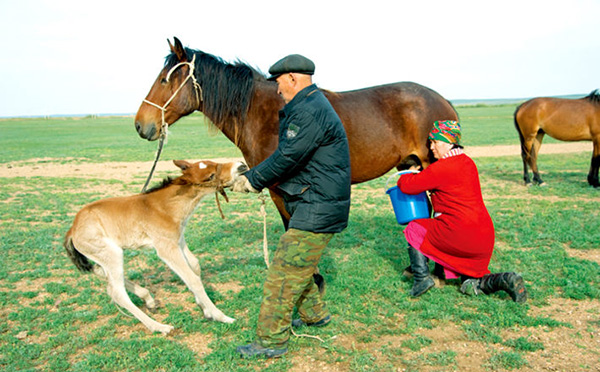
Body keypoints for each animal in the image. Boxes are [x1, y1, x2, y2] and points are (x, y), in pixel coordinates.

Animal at [63, 159, 246, 334]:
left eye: (213, 163)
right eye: (210, 176)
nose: (241, 166)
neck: (164, 207)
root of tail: (72, 229)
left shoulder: (178, 240)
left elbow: (194, 265)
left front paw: (204, 309)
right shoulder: (166, 248)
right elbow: (192, 279)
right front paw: (220, 316)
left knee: (103, 276)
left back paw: (148, 300)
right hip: (111, 254)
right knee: (117, 293)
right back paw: (160, 327)